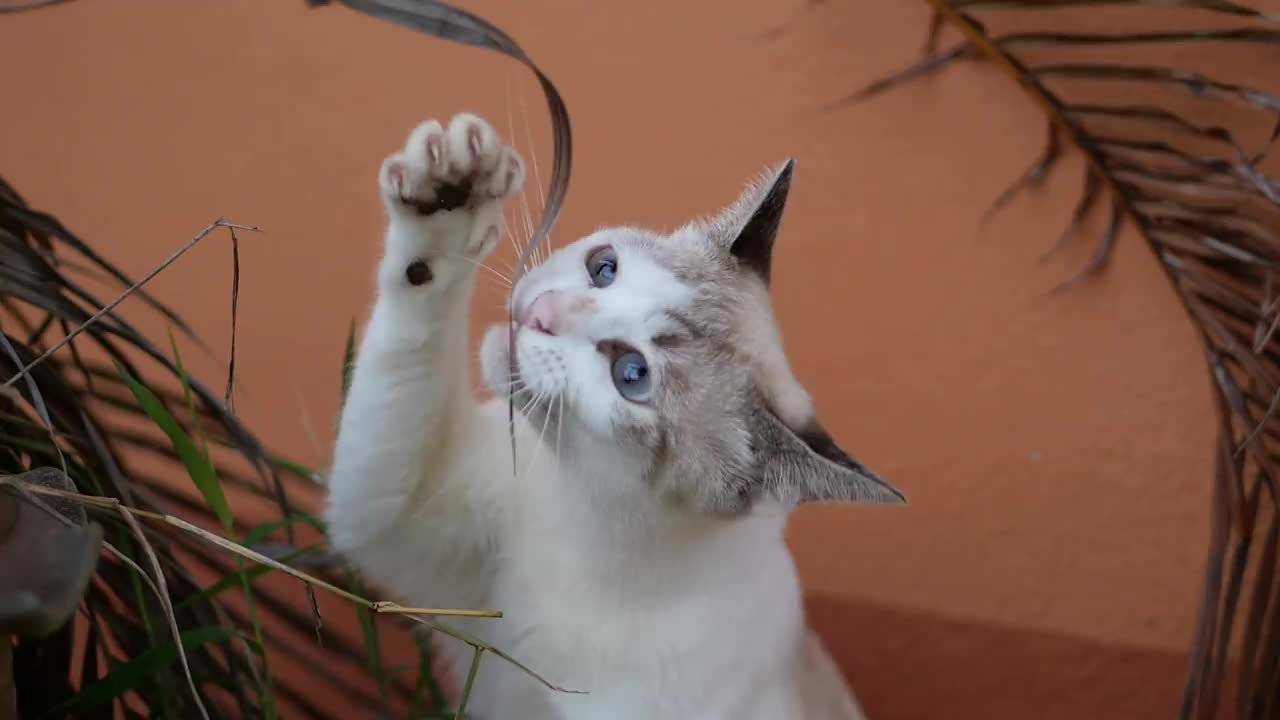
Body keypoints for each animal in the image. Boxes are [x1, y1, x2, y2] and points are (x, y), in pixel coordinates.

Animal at [327, 112, 911, 717]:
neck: (586, 525)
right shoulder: (401, 514)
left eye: (632, 374)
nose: (540, 313)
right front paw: (450, 193)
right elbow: (412, 327)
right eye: (603, 269)